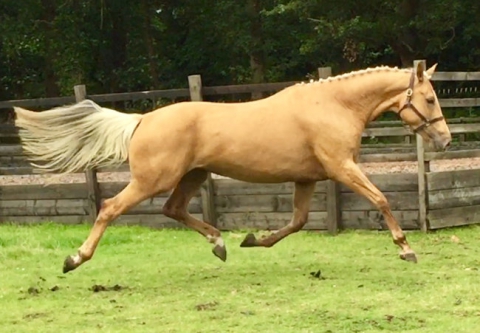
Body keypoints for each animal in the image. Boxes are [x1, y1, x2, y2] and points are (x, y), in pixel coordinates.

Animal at [13, 61, 452, 272]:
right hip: (153, 179)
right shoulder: (342, 167)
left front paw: (253, 240)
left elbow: (296, 223)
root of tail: (141, 120)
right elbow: (381, 200)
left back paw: (220, 243)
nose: (445, 140)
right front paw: (407, 250)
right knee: (109, 209)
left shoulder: (307, 178)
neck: (333, 106)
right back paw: (74, 259)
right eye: (430, 98)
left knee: (173, 210)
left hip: (192, 176)